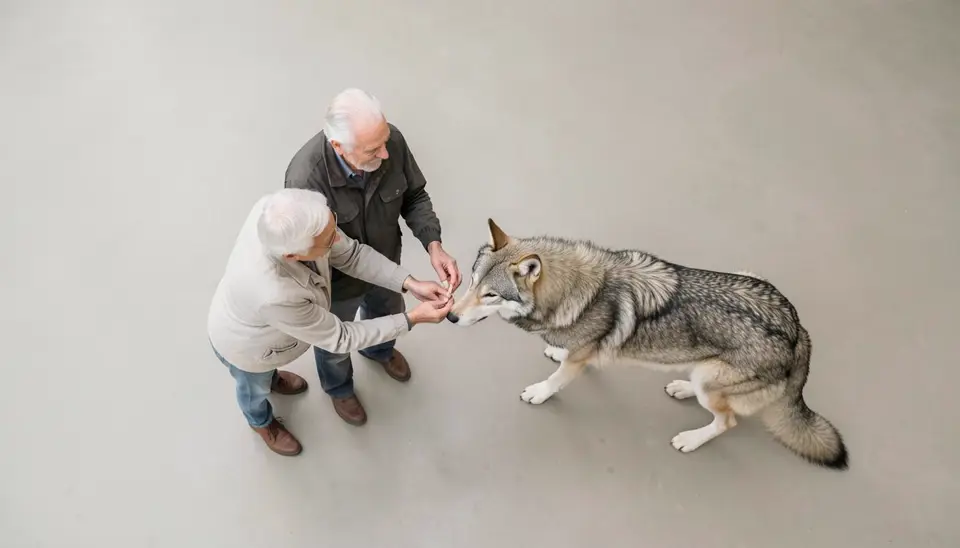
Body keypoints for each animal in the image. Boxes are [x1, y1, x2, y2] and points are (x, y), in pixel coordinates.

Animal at [447, 219, 848, 470]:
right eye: (471, 282)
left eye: (491, 295)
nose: (450, 316)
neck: (579, 292)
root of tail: (798, 331)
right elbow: (565, 353)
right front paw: (555, 349)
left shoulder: (577, 363)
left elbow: (557, 379)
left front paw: (539, 393)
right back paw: (681, 387)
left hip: (714, 380)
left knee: (727, 421)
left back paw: (690, 439)